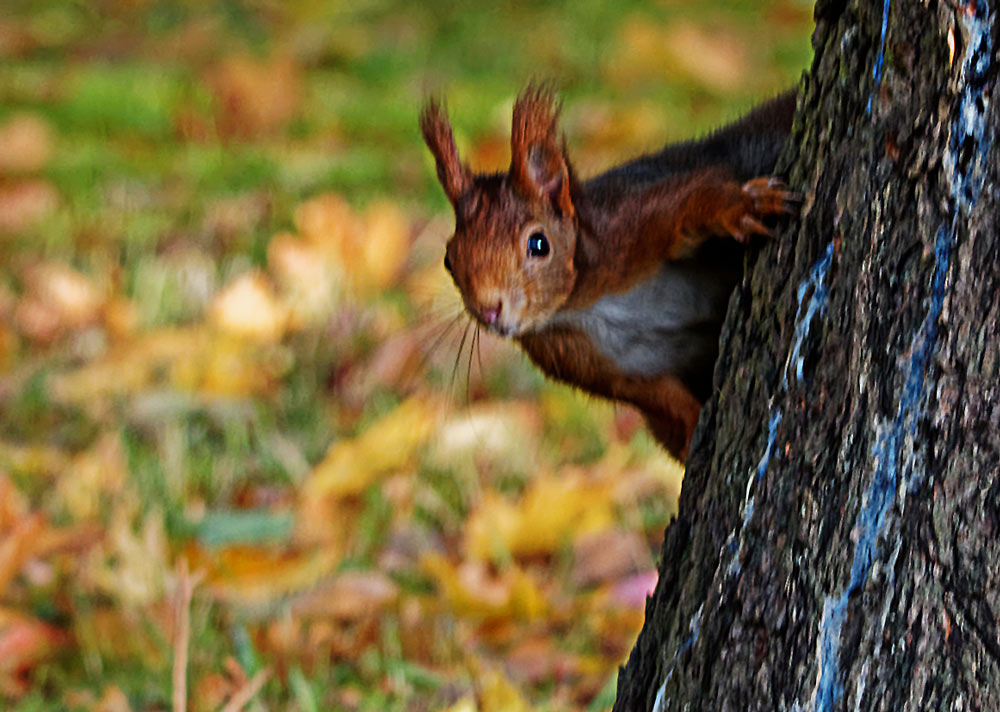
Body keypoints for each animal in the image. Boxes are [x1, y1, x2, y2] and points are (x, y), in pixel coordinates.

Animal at [420, 86, 796, 458]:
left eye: (539, 244)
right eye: (449, 260)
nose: (488, 310)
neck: (581, 303)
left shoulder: (632, 221)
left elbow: (695, 198)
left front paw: (743, 206)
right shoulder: (588, 365)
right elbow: (663, 400)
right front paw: (691, 435)